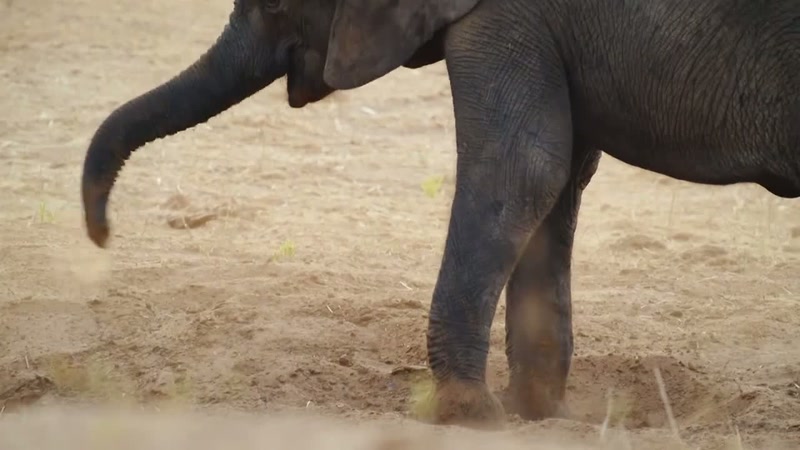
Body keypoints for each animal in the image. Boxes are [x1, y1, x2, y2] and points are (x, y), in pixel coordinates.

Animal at [80, 0, 800, 429]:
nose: (102, 236)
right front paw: (535, 417)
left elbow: (518, 168)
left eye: (279, 5)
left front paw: (467, 414)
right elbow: (558, 179)